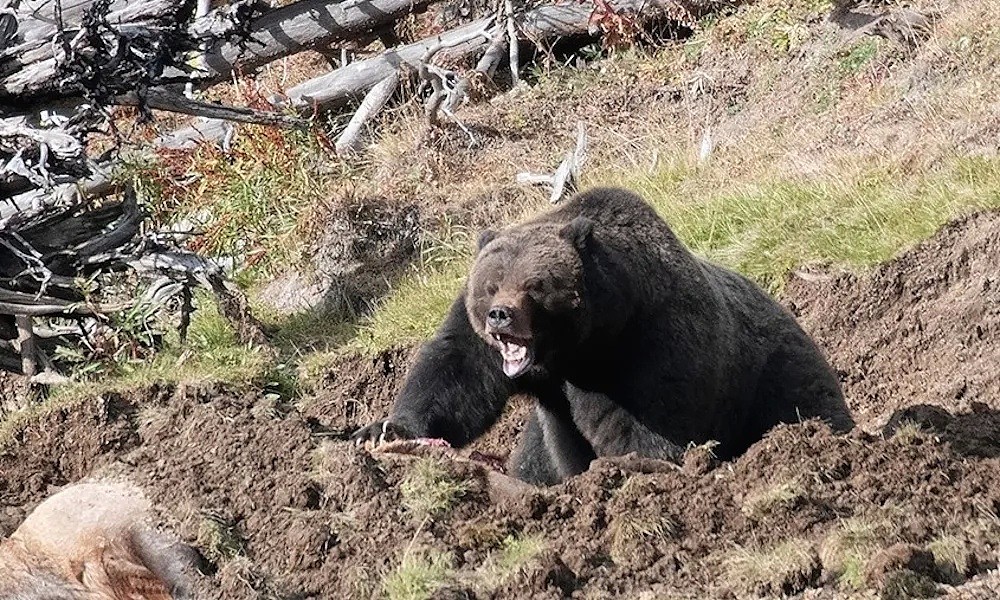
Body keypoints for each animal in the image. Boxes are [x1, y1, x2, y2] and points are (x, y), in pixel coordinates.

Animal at [352, 185, 852, 486]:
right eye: (491, 284)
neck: (580, 348)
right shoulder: (494, 351)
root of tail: (789, 310)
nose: (500, 317)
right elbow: (454, 372)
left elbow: (651, 419)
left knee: (803, 405)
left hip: (774, 373)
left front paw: (628, 467)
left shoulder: (650, 341)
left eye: (535, 285)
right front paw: (382, 429)